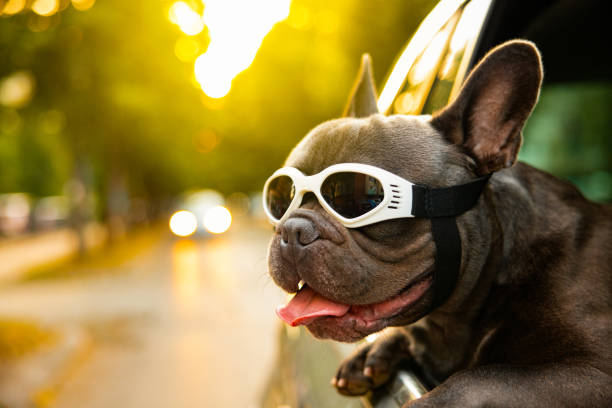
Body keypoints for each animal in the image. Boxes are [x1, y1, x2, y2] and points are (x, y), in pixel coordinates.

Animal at [266, 39, 612, 406]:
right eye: (280, 199)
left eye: (360, 198)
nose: (293, 229)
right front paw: (373, 354)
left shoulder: (593, 371)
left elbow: (479, 379)